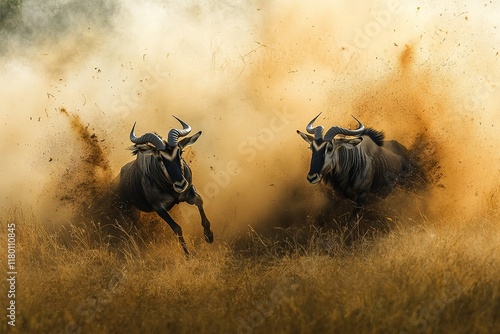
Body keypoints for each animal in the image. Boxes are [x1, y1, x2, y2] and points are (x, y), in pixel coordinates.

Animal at [118, 116, 214, 254]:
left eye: (180, 152)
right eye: (159, 158)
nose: (180, 184)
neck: (169, 186)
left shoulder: (188, 192)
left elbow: (199, 201)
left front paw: (209, 235)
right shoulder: (159, 208)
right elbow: (177, 228)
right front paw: (188, 255)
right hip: (130, 214)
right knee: (132, 231)